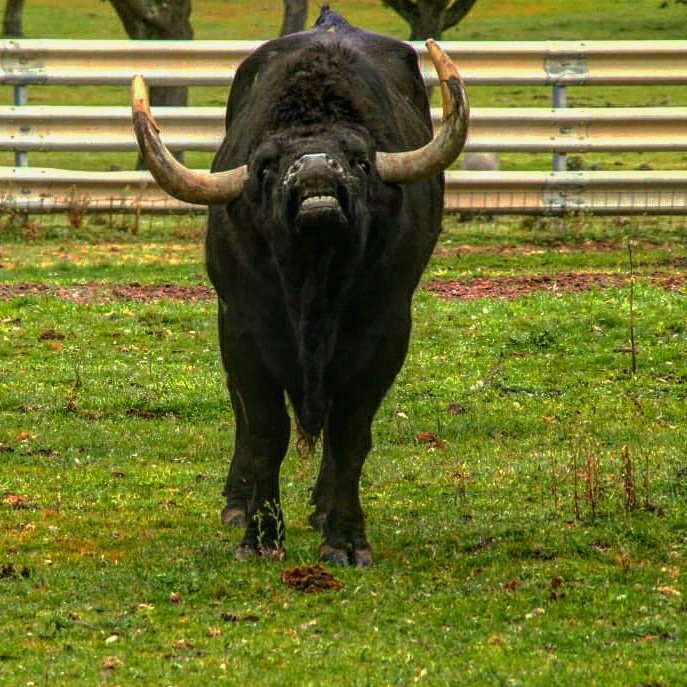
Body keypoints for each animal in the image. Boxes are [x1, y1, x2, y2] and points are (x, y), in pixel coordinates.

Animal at [132, 8, 470, 568]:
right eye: (267, 164)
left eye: (358, 159)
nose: (315, 171)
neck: (314, 287)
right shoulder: (242, 328)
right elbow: (266, 431)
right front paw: (260, 536)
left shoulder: (386, 332)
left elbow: (350, 435)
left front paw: (345, 539)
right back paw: (238, 502)